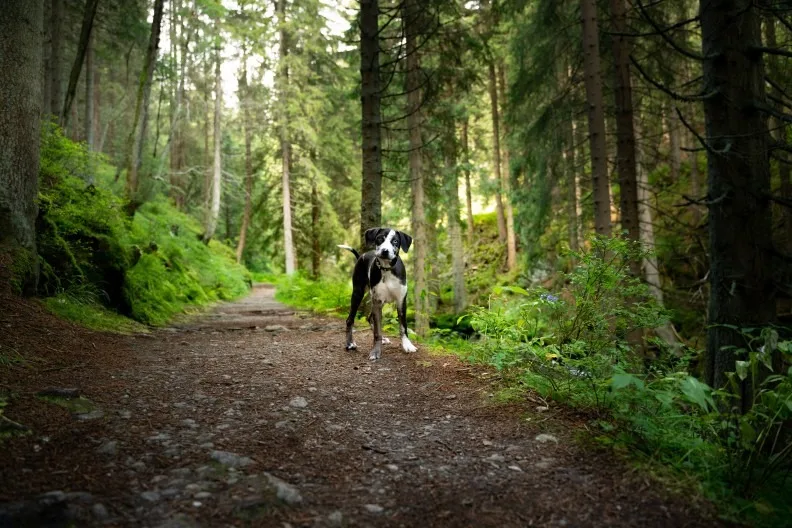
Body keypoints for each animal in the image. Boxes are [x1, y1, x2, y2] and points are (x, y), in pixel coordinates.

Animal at [338, 226, 418, 358]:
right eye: (380, 239)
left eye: (395, 241)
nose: (385, 251)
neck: (386, 270)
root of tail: (361, 256)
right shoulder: (377, 301)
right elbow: (377, 331)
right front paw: (375, 351)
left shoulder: (401, 301)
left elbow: (403, 326)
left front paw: (407, 345)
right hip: (358, 293)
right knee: (350, 320)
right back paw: (349, 343)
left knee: (369, 318)